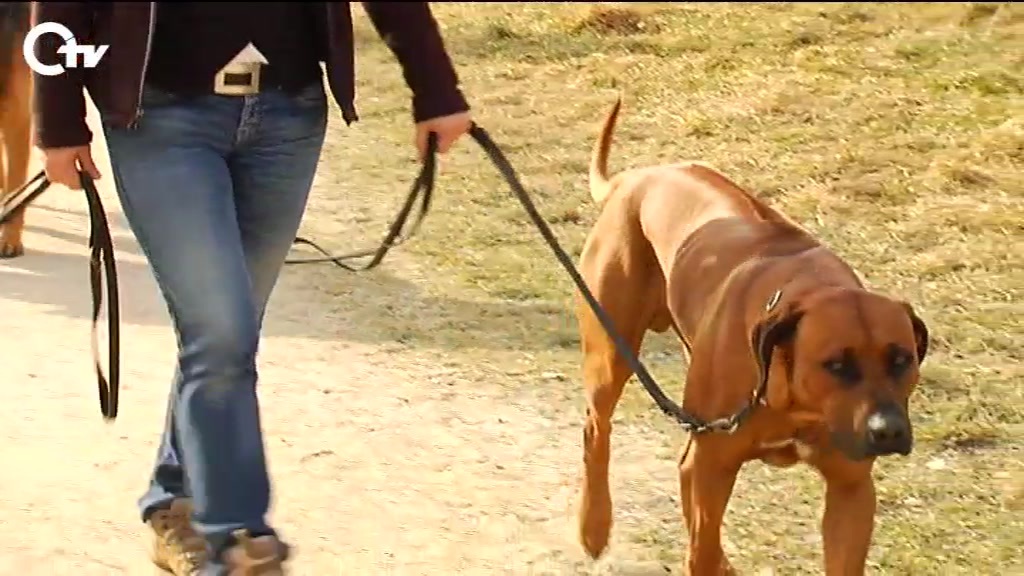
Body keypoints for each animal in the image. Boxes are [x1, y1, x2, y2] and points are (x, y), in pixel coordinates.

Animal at [574, 98, 930, 575]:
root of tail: (634, 178)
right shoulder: (712, 464)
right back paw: (594, 526)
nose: (887, 431)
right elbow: (701, 546)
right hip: (612, 348)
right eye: (836, 364)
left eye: (901, 359)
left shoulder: (851, 487)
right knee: (598, 428)